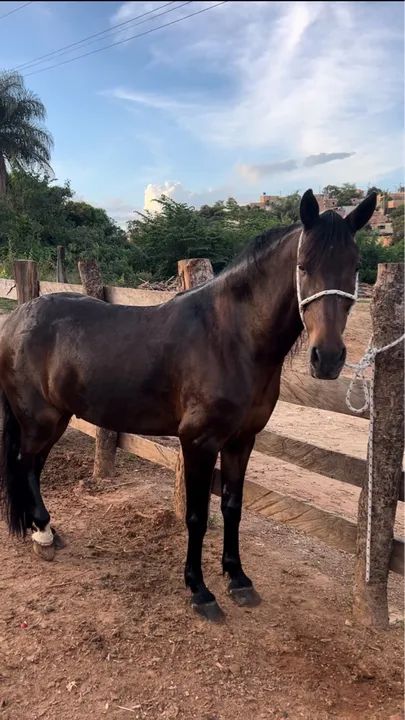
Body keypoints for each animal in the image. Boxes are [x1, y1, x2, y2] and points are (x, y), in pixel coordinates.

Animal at [0, 189, 376, 621]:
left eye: (355, 266)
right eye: (303, 265)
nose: (327, 358)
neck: (230, 338)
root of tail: (16, 320)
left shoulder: (241, 441)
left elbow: (232, 506)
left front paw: (238, 579)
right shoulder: (199, 442)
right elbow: (196, 516)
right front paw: (200, 590)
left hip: (54, 420)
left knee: (32, 467)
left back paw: (44, 530)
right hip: (40, 420)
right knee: (25, 465)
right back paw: (42, 535)